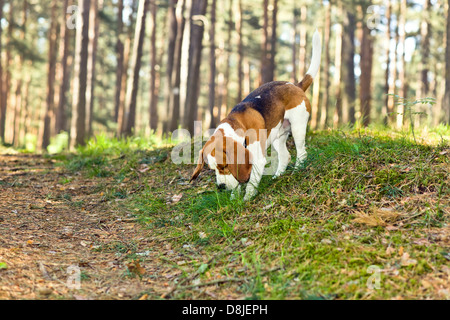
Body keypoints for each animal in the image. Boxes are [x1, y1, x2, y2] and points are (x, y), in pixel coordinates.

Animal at [192, 30, 322, 200]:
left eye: (224, 166)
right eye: (212, 169)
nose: (221, 187)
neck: (237, 126)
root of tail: (296, 86)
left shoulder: (258, 160)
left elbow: (251, 182)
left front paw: (246, 199)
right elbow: (238, 183)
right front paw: (234, 199)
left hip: (298, 128)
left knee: (302, 153)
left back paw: (297, 170)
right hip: (277, 135)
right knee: (285, 156)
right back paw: (278, 176)